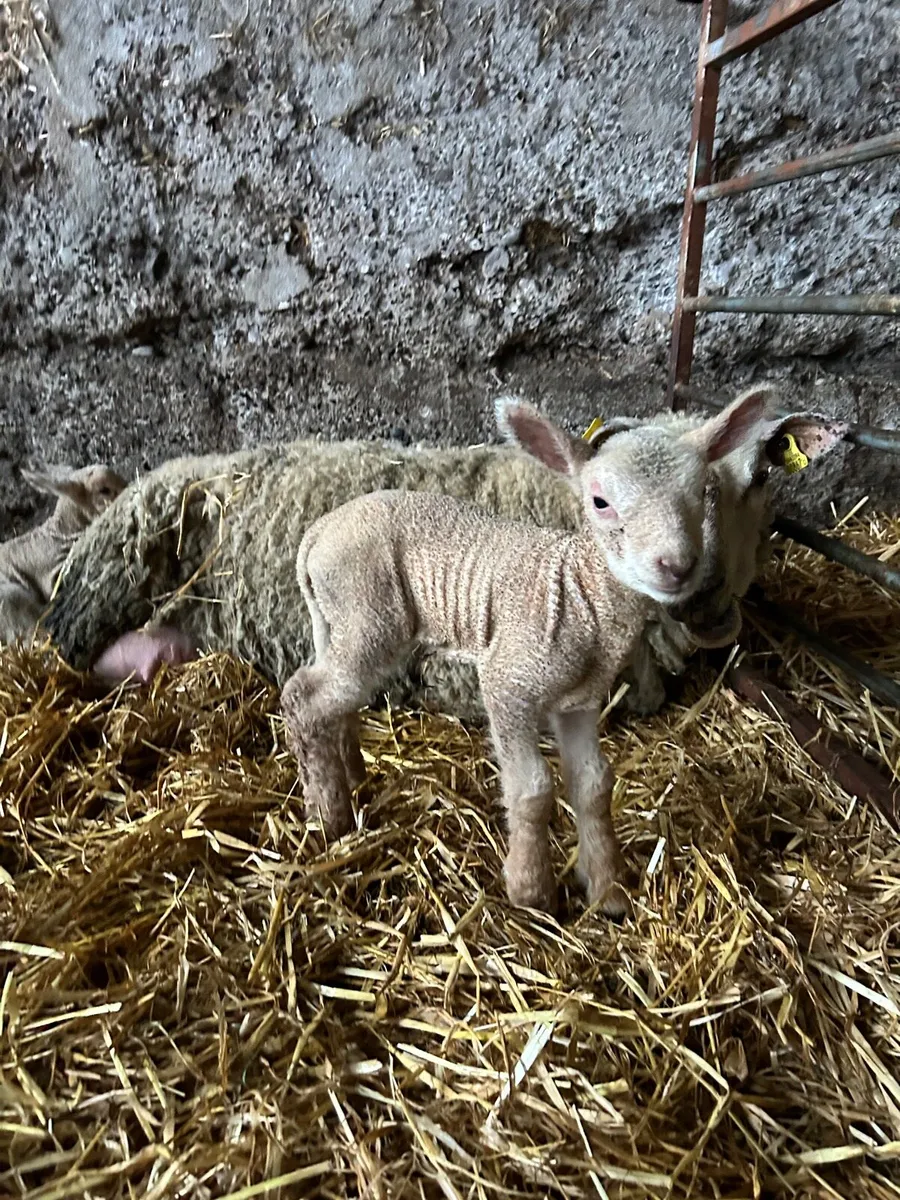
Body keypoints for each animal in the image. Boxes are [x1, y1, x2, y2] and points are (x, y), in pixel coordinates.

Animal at [280, 390, 779, 916]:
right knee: (303, 697)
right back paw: (328, 814)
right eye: (599, 502)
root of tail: (317, 534)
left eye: (704, 492)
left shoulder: (579, 702)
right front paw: (531, 890)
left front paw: (607, 890)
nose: (677, 566)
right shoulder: (508, 683)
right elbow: (533, 789)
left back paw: (351, 777)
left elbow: (594, 785)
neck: (582, 595)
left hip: (342, 620)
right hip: (368, 613)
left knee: (331, 697)